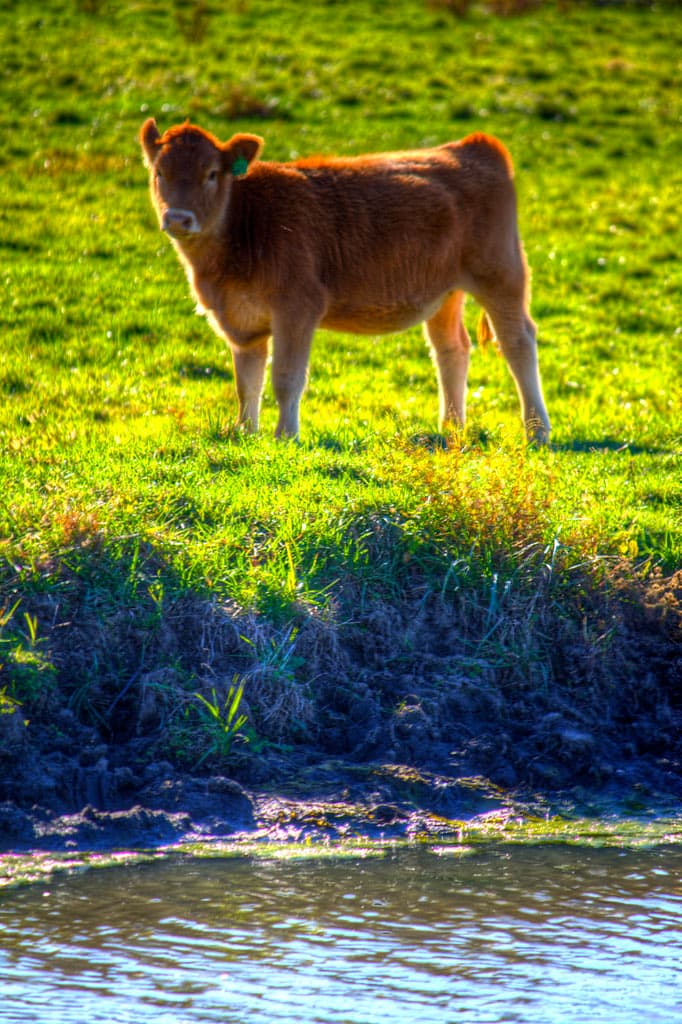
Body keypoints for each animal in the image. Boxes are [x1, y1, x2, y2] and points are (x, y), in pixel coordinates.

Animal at [140, 118, 550, 443]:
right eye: (159, 173)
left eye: (211, 174)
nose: (178, 218)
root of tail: (472, 145)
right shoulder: (241, 320)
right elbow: (247, 382)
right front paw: (245, 433)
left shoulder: (297, 307)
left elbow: (286, 377)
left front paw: (285, 436)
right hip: (445, 292)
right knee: (451, 350)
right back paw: (450, 428)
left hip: (500, 272)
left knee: (518, 343)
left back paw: (537, 431)